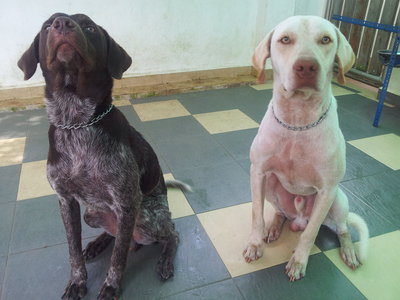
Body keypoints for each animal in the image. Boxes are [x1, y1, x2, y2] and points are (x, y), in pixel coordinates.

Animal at [16, 12, 189, 298]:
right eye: (47, 26)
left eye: (89, 27)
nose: (62, 24)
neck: (77, 123)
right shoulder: (66, 201)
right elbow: (73, 250)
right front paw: (77, 282)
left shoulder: (127, 203)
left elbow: (118, 258)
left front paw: (110, 287)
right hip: (92, 213)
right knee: (115, 234)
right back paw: (98, 243)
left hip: (146, 218)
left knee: (170, 233)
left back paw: (165, 260)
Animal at [241, 15, 368, 278]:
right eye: (285, 39)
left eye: (326, 39)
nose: (307, 67)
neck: (297, 121)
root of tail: (298, 218)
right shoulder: (258, 172)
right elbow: (256, 215)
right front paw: (255, 244)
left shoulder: (327, 189)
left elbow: (310, 234)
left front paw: (299, 261)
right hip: (272, 185)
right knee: (280, 212)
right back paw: (274, 227)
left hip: (338, 199)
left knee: (341, 228)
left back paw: (349, 251)